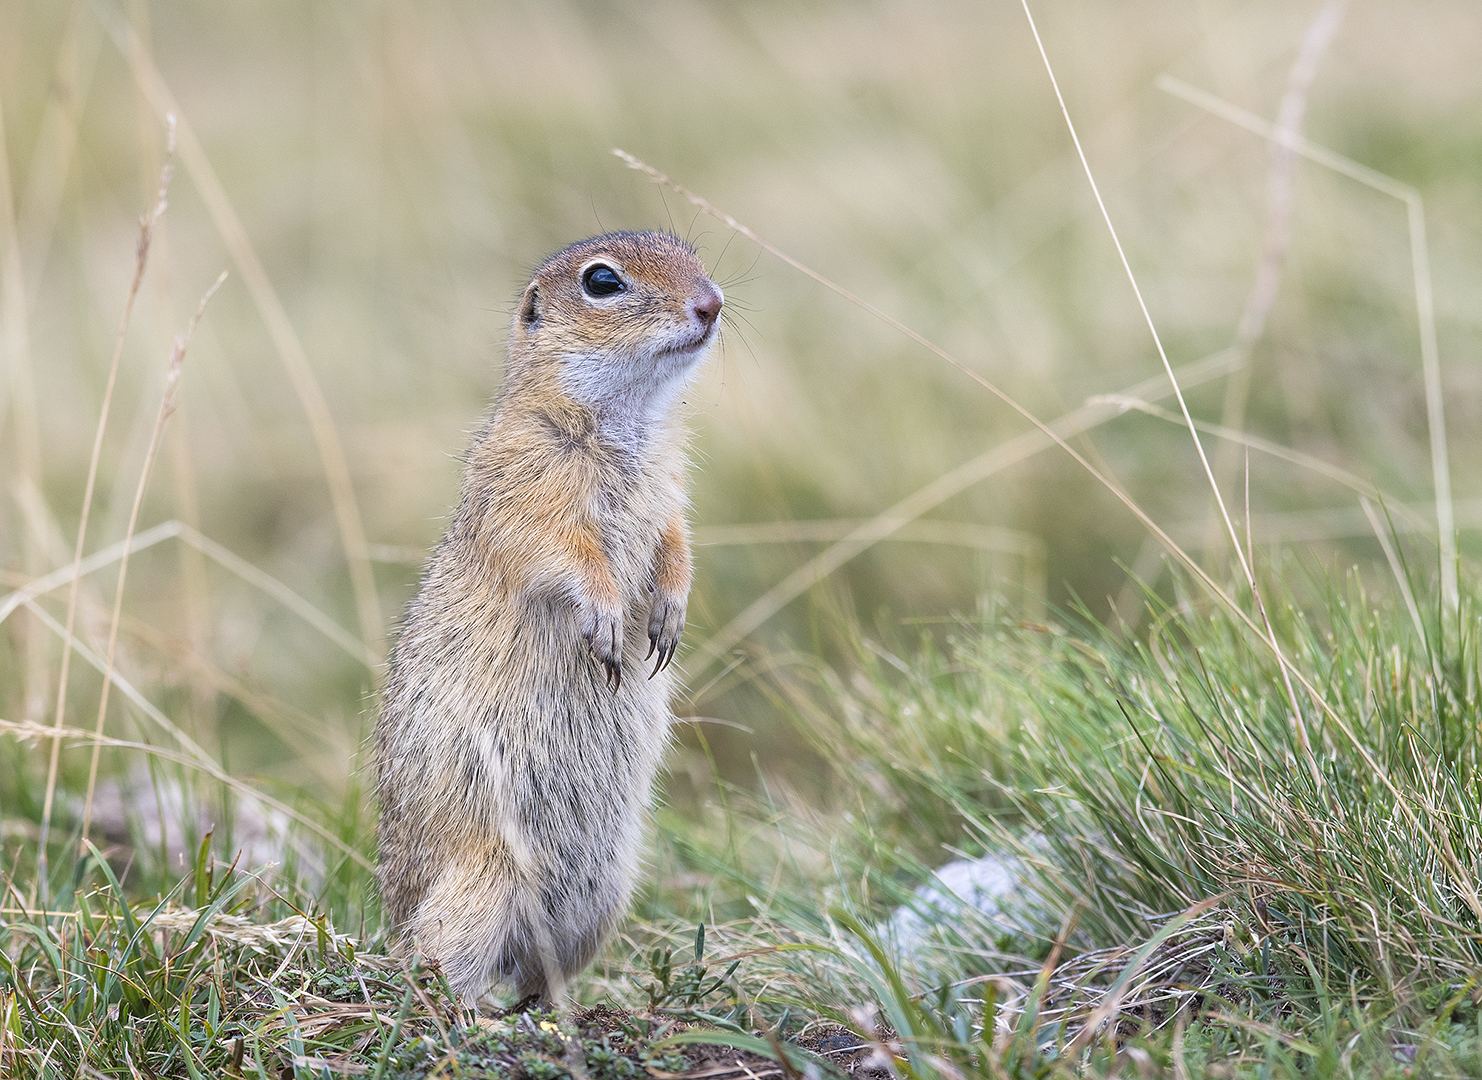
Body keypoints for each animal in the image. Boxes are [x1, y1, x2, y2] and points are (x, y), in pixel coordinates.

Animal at [375, 230, 723, 1006]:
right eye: (602, 282)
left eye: (688, 250)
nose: (712, 304)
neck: (624, 420)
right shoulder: (527, 480)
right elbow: (563, 551)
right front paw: (608, 625)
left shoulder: (671, 490)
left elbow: (678, 542)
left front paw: (669, 619)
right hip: (481, 891)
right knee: (434, 966)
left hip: (602, 899)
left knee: (540, 975)